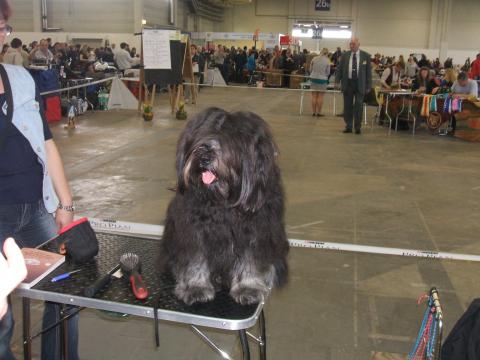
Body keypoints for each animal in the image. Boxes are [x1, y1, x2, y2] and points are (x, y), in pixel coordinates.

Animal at [161, 107, 288, 306]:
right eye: (201, 136)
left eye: (231, 140)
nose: (204, 157)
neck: (223, 201)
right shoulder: (192, 231)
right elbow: (195, 259)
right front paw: (195, 287)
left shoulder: (257, 230)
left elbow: (251, 260)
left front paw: (248, 287)